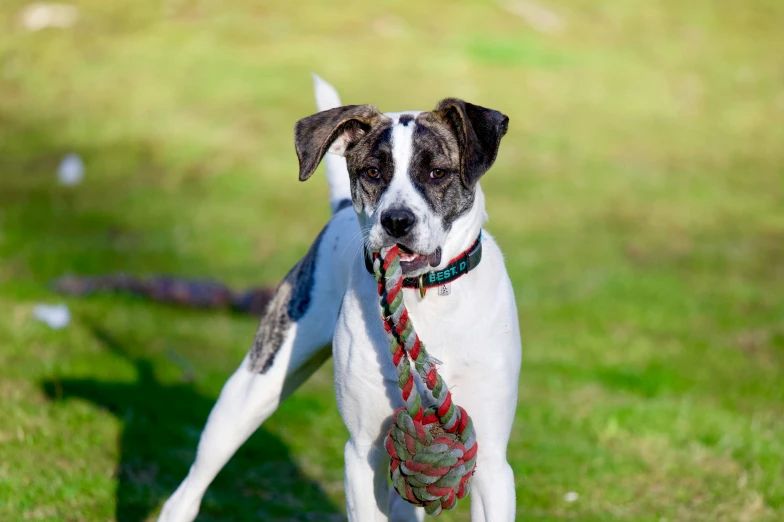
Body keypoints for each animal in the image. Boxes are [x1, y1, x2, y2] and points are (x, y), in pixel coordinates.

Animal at [156, 75, 524, 516]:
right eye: (372, 171)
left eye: (437, 172)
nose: (396, 221)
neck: (425, 296)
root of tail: (341, 209)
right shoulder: (363, 452)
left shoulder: (492, 462)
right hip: (249, 392)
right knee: (188, 491)